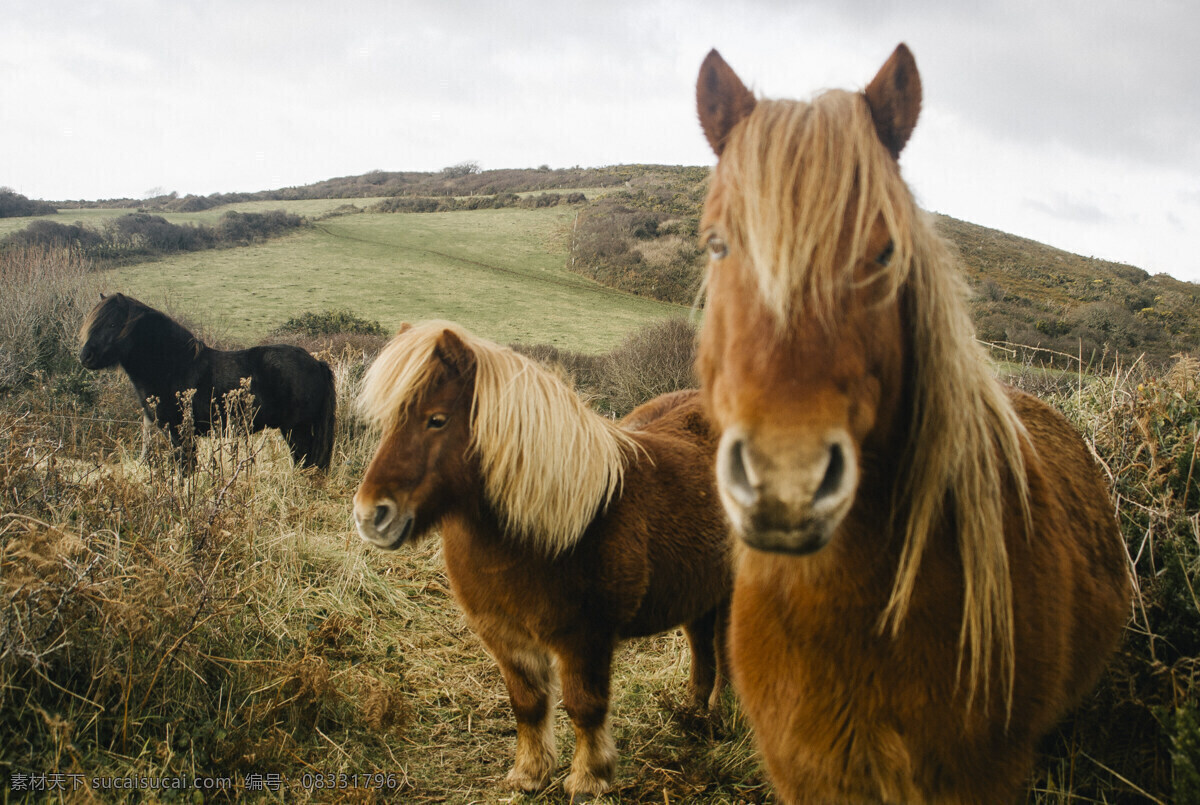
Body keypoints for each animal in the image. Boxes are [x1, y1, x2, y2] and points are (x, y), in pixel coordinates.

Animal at [80, 293, 336, 472]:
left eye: (113, 324)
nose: (85, 357)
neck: (173, 366)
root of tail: (316, 363)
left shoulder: (180, 434)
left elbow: (184, 470)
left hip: (298, 429)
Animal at [350, 321, 729, 801]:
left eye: (436, 419)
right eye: (387, 422)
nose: (370, 516)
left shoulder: (585, 638)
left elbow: (586, 706)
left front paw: (589, 779)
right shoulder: (504, 635)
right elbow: (527, 704)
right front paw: (529, 773)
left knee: (725, 651)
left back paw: (720, 718)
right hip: (697, 587)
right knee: (701, 644)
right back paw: (692, 713)